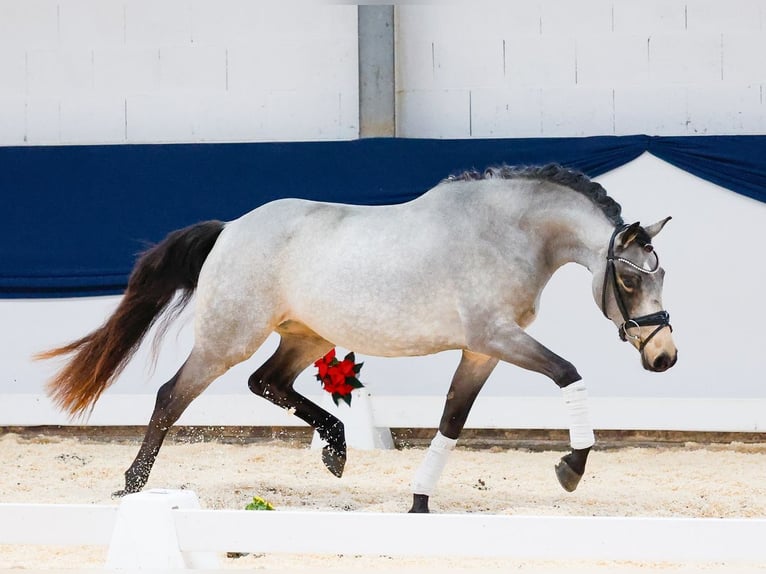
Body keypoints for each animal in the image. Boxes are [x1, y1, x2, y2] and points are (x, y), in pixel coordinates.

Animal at [38, 164, 677, 513]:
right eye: (627, 279)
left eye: (662, 275)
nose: (664, 357)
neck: (505, 231)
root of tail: (231, 229)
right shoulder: (496, 336)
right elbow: (569, 374)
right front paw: (572, 467)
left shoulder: (481, 351)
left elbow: (451, 421)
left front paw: (418, 501)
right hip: (227, 340)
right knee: (172, 396)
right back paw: (132, 487)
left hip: (303, 336)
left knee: (266, 382)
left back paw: (337, 449)